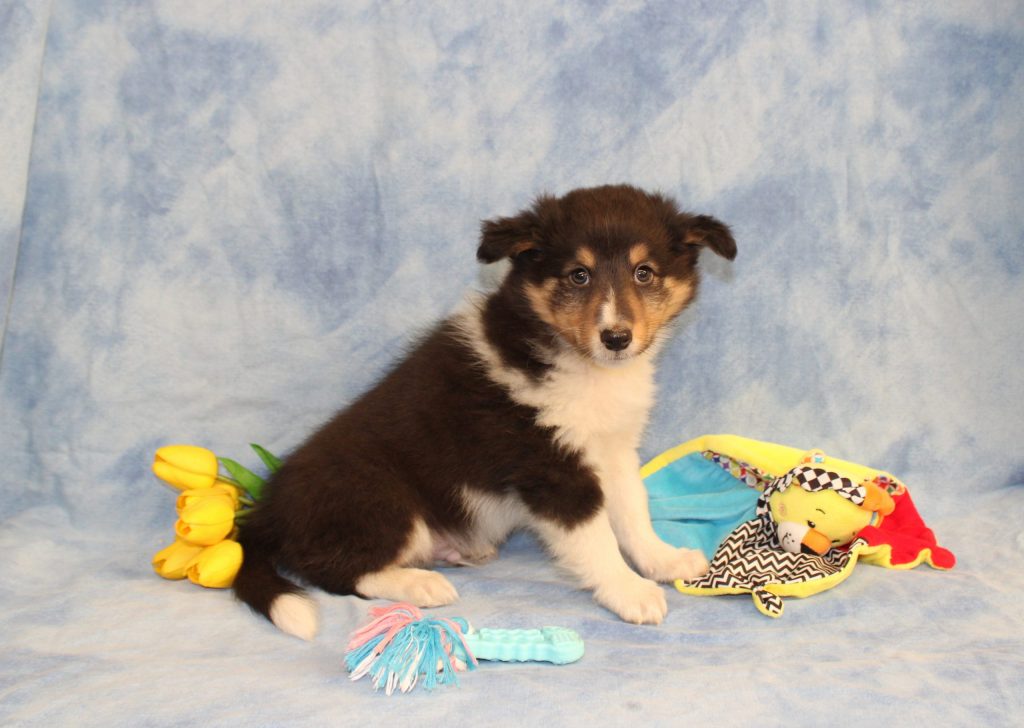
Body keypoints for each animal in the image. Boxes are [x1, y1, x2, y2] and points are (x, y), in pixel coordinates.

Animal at [233, 184, 736, 640]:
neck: (579, 362)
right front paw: (630, 591)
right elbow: (595, 537)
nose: (616, 338)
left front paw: (663, 559)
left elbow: (633, 511)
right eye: (578, 275)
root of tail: (268, 510)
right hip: (378, 497)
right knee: (334, 569)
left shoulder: (612, 449)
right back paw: (421, 583)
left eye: (644, 273)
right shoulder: (551, 468)